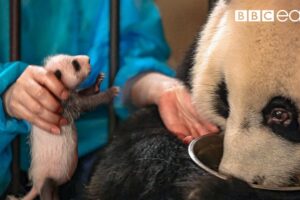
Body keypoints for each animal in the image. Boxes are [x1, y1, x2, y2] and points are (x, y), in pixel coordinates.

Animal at [22, 54, 117, 200]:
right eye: (75, 64)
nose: (89, 59)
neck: (52, 85)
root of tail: (35, 187)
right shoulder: (62, 103)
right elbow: (86, 104)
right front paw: (109, 93)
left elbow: (82, 94)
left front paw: (96, 84)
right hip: (46, 177)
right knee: (47, 189)